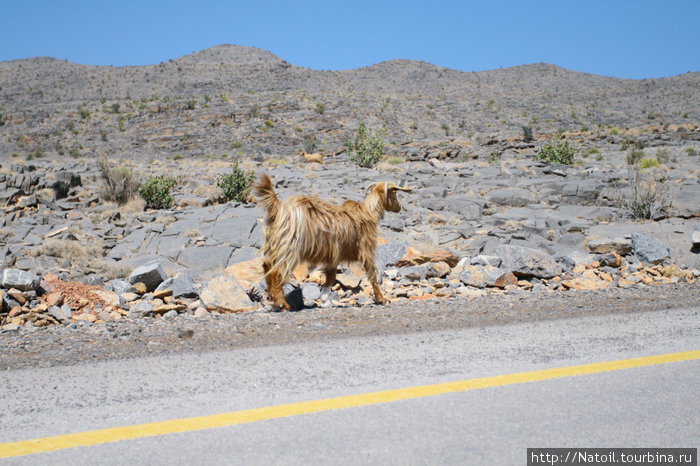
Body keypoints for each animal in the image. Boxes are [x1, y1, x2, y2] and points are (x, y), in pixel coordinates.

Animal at [254, 173, 410, 312]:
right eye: (395, 193)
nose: (399, 207)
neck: (368, 211)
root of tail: (278, 208)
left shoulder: (333, 256)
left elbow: (330, 278)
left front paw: (325, 302)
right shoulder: (365, 250)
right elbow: (372, 274)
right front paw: (381, 299)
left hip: (275, 244)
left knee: (267, 265)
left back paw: (273, 297)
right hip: (290, 247)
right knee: (277, 271)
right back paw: (282, 304)